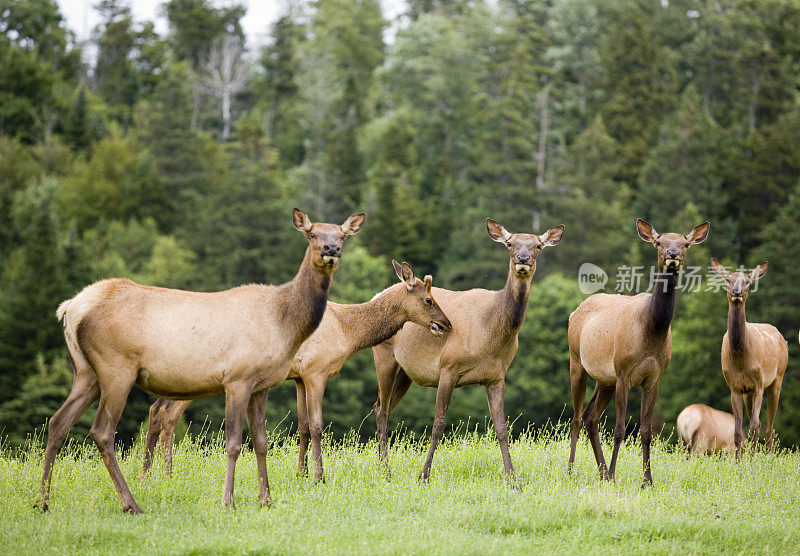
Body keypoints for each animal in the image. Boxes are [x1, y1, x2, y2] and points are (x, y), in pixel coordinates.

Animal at [36, 210, 364, 516]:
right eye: (312, 233)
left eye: (341, 235)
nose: (331, 249)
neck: (283, 324)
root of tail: (71, 308)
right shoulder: (237, 378)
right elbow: (234, 444)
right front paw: (228, 502)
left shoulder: (262, 385)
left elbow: (261, 441)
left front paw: (266, 500)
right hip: (116, 367)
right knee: (102, 431)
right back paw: (131, 504)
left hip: (86, 372)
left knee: (58, 422)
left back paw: (42, 501)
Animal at [141, 260, 454, 482]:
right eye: (429, 300)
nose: (447, 324)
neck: (348, 333)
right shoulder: (317, 371)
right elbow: (316, 425)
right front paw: (319, 477)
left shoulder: (300, 378)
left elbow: (302, 426)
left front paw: (300, 475)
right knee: (168, 414)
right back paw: (164, 474)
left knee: (156, 410)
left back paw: (150, 474)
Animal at [374, 219, 564, 484]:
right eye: (509, 243)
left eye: (538, 245)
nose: (523, 258)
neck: (491, 334)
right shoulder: (448, 367)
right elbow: (438, 424)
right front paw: (424, 475)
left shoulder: (496, 376)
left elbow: (502, 427)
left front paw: (513, 479)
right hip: (383, 356)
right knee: (381, 410)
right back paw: (386, 472)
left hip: (405, 371)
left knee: (384, 407)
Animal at [564, 219, 708, 484]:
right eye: (659, 242)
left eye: (685, 243)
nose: (673, 254)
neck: (650, 331)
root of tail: (574, 312)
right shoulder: (624, 373)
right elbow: (620, 429)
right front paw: (615, 473)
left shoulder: (654, 378)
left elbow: (646, 431)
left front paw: (647, 480)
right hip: (577, 361)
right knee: (577, 418)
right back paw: (572, 470)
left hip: (605, 379)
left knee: (591, 417)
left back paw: (601, 473)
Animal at [712, 258, 788, 458]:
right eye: (728, 280)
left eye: (746, 281)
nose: (737, 293)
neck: (740, 358)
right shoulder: (734, 387)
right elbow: (738, 431)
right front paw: (738, 460)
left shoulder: (759, 383)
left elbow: (755, 425)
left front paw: (752, 460)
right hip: (749, 392)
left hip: (778, 377)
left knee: (768, 426)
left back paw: (768, 457)